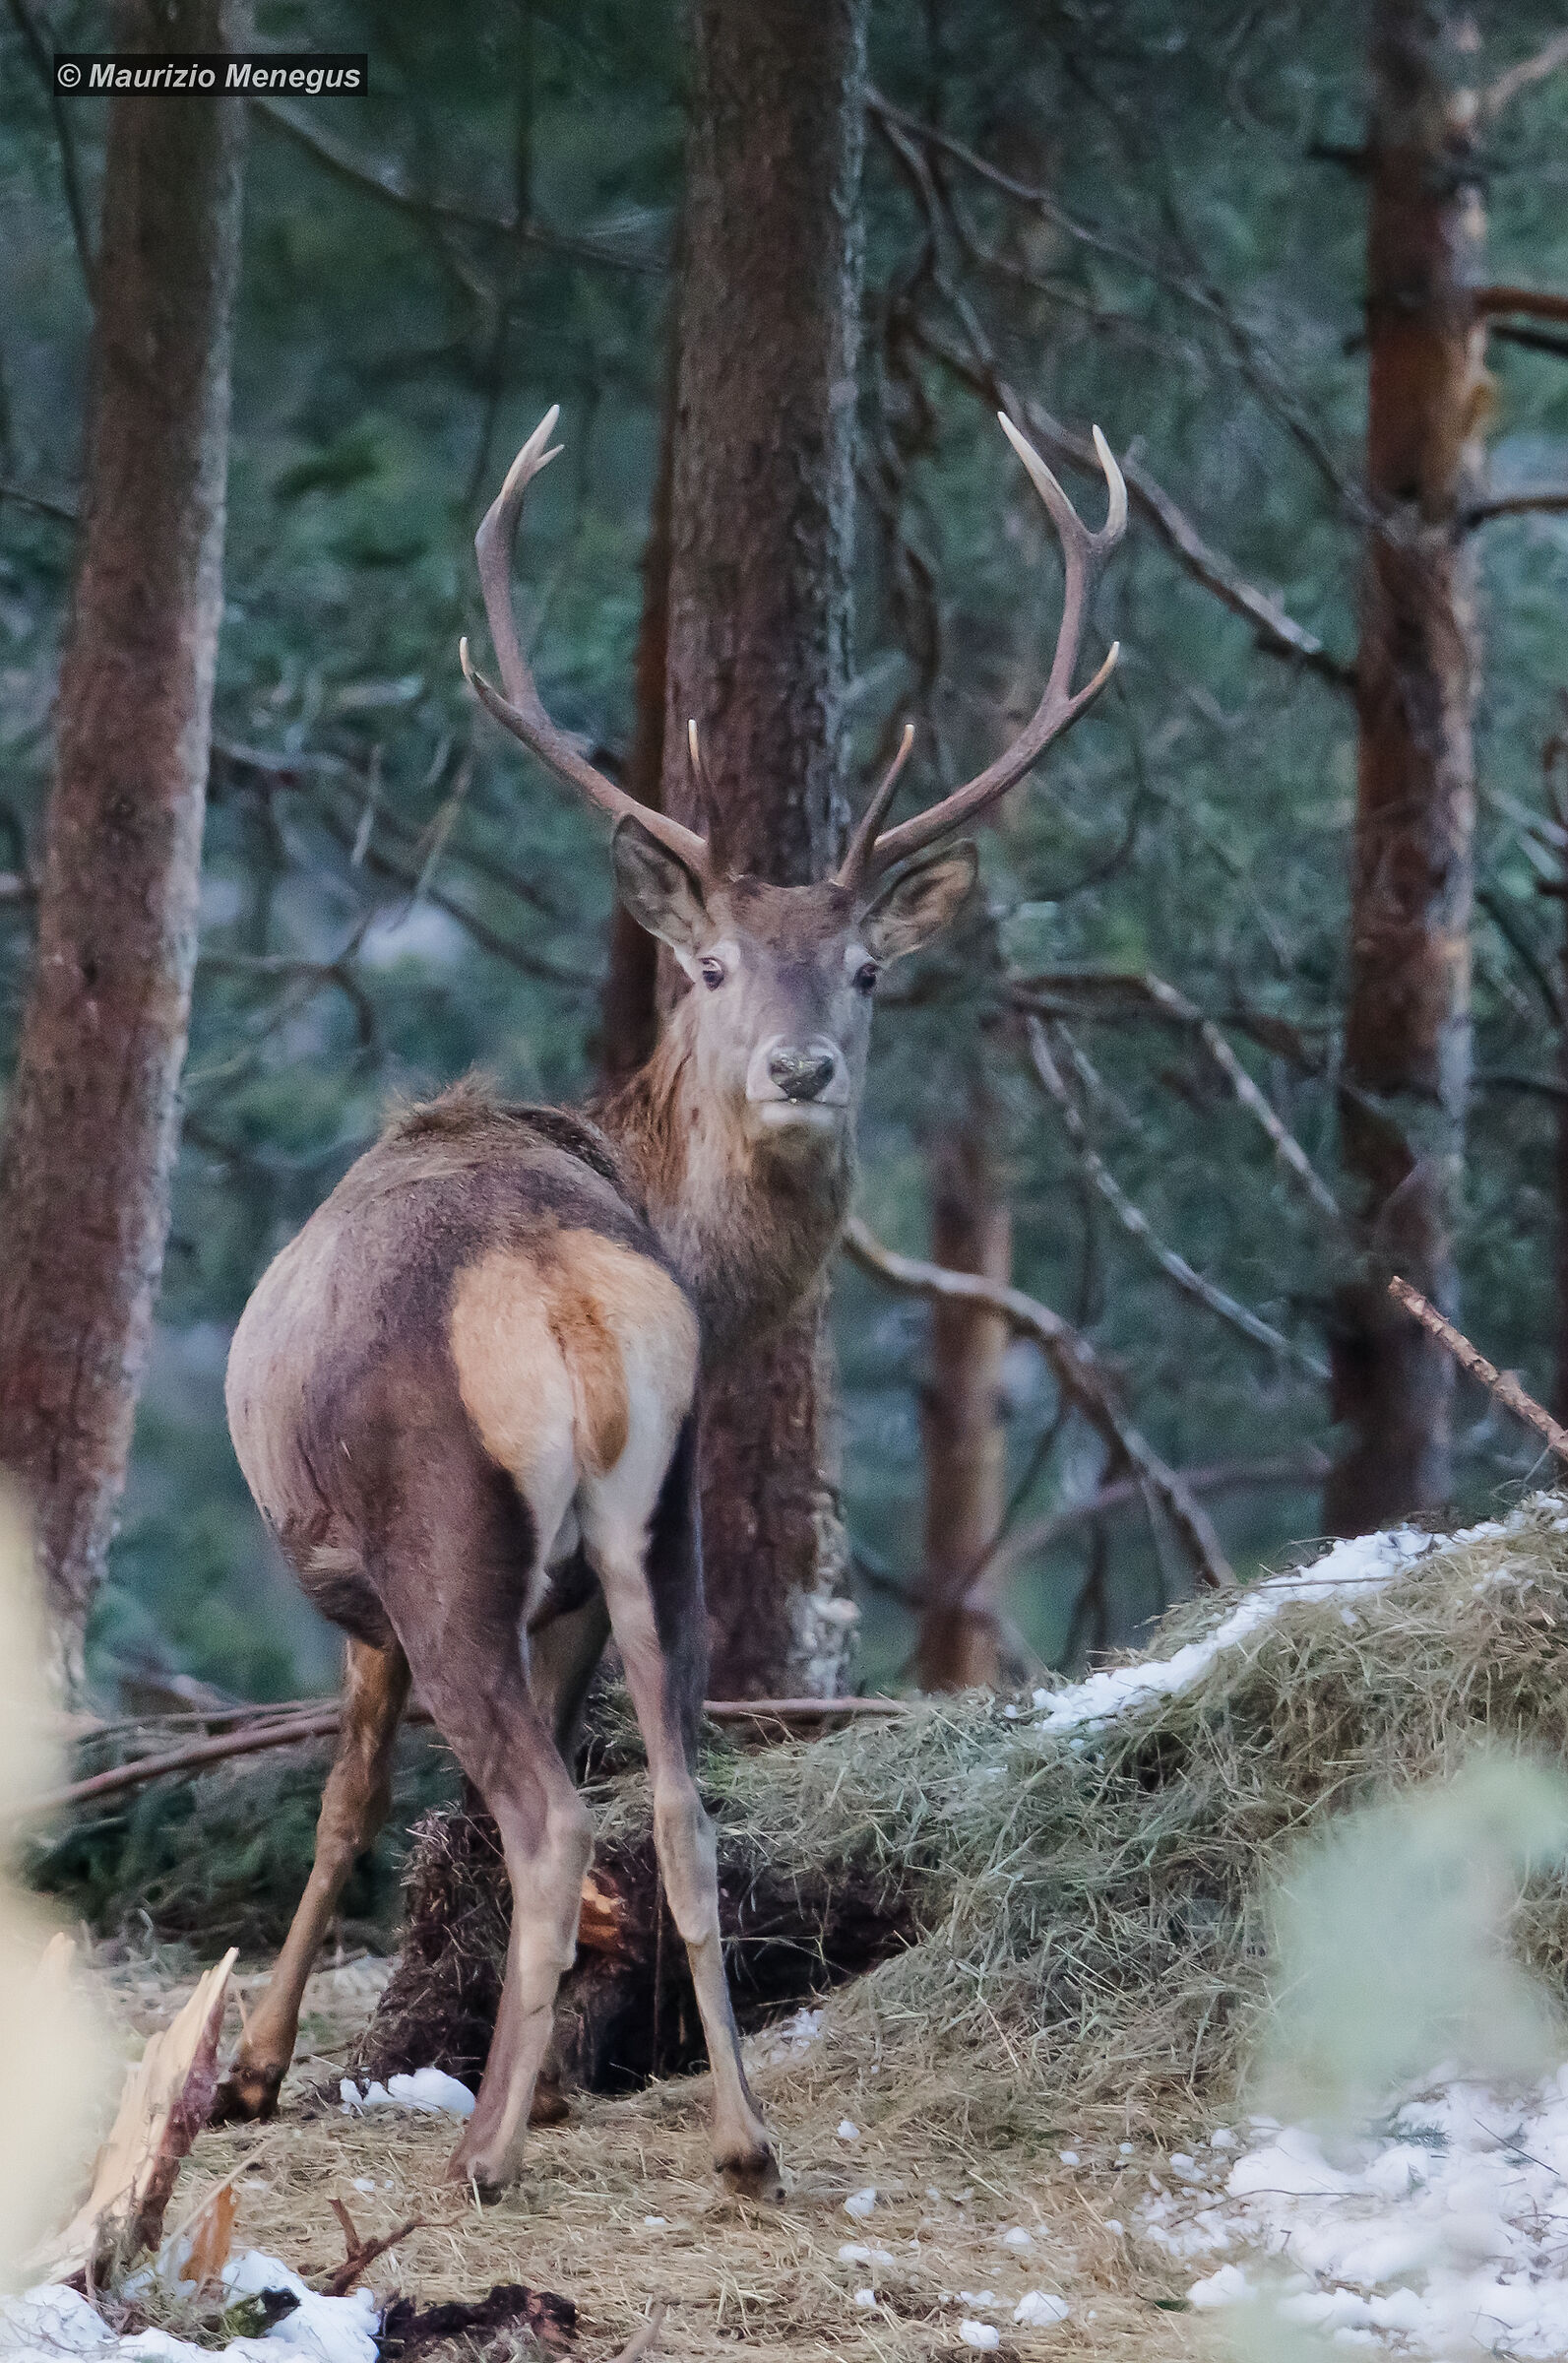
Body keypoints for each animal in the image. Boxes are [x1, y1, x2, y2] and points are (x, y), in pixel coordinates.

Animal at [212, 404, 1125, 2196]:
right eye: (712, 969)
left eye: (866, 969)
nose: (801, 1065)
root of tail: (562, 1298)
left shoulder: (353, 1590)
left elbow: (347, 1807)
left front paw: (260, 2070)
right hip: (665, 1515)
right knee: (683, 1809)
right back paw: (739, 2138)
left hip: (443, 1538)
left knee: (551, 1814)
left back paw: (486, 2150)